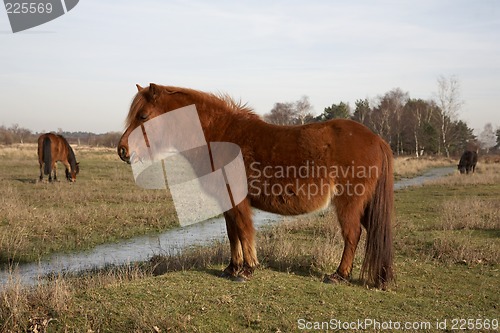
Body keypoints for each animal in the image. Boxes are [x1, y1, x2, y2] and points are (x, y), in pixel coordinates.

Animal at [117, 83, 394, 288]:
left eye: (143, 116)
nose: (122, 150)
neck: (221, 135)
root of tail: (377, 138)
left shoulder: (238, 200)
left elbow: (244, 230)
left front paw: (248, 269)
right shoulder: (227, 201)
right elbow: (232, 233)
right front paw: (232, 267)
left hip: (349, 202)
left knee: (352, 235)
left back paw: (339, 275)